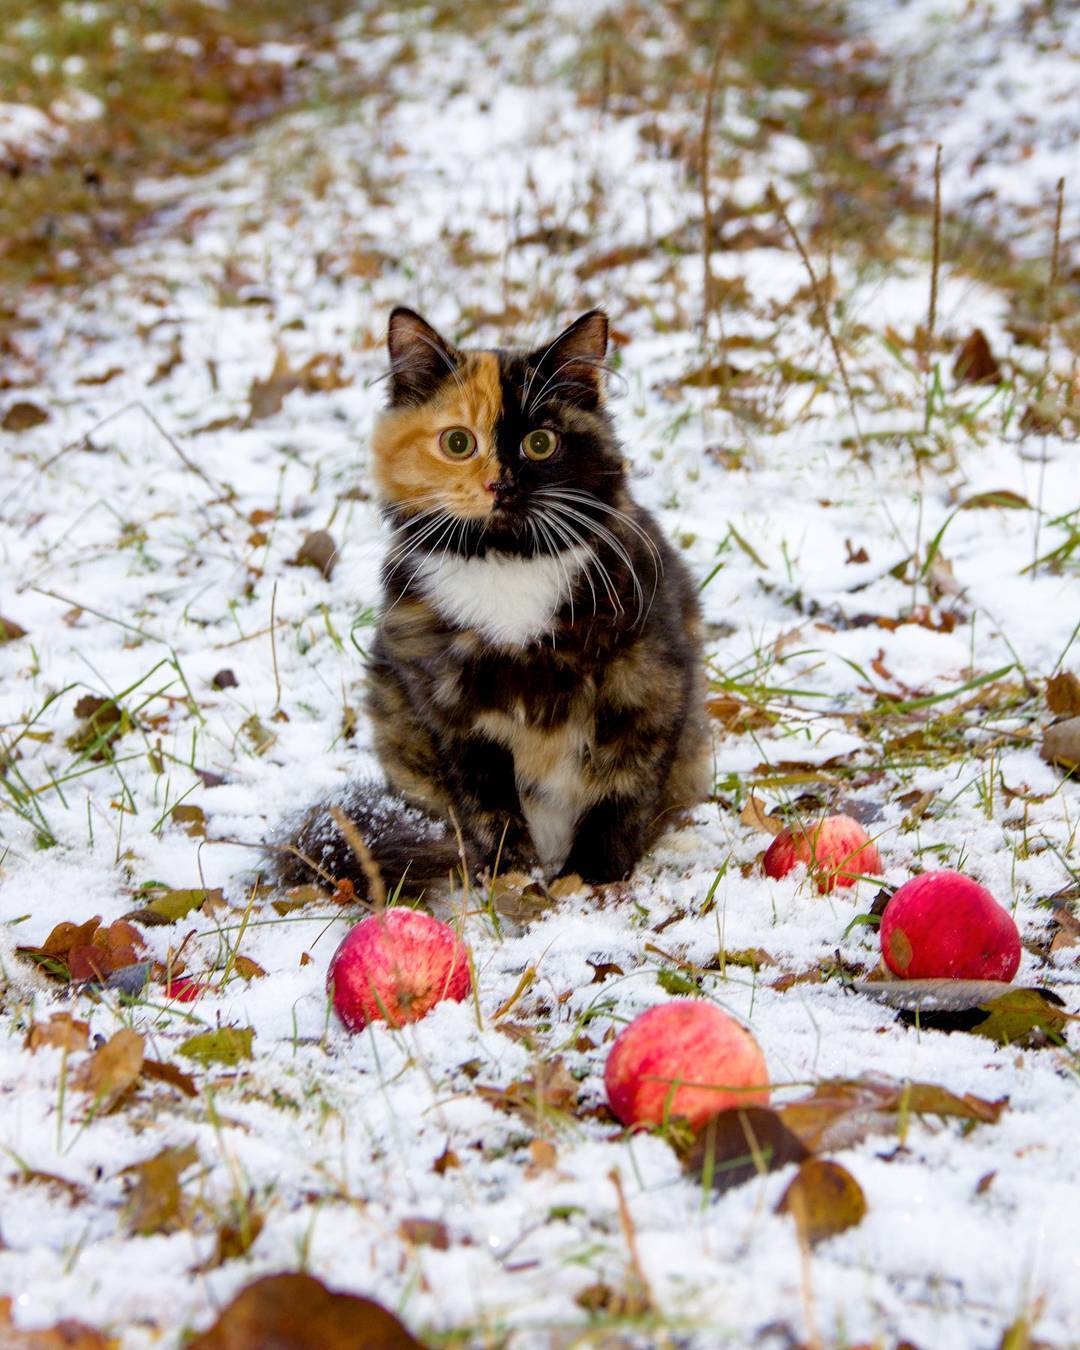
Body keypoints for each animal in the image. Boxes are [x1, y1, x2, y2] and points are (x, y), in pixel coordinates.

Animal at [270, 309, 707, 891]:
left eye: (541, 443)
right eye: (457, 443)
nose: (500, 485)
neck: (507, 564)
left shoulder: (648, 684)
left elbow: (620, 793)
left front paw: (593, 877)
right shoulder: (449, 713)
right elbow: (488, 807)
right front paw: (509, 874)